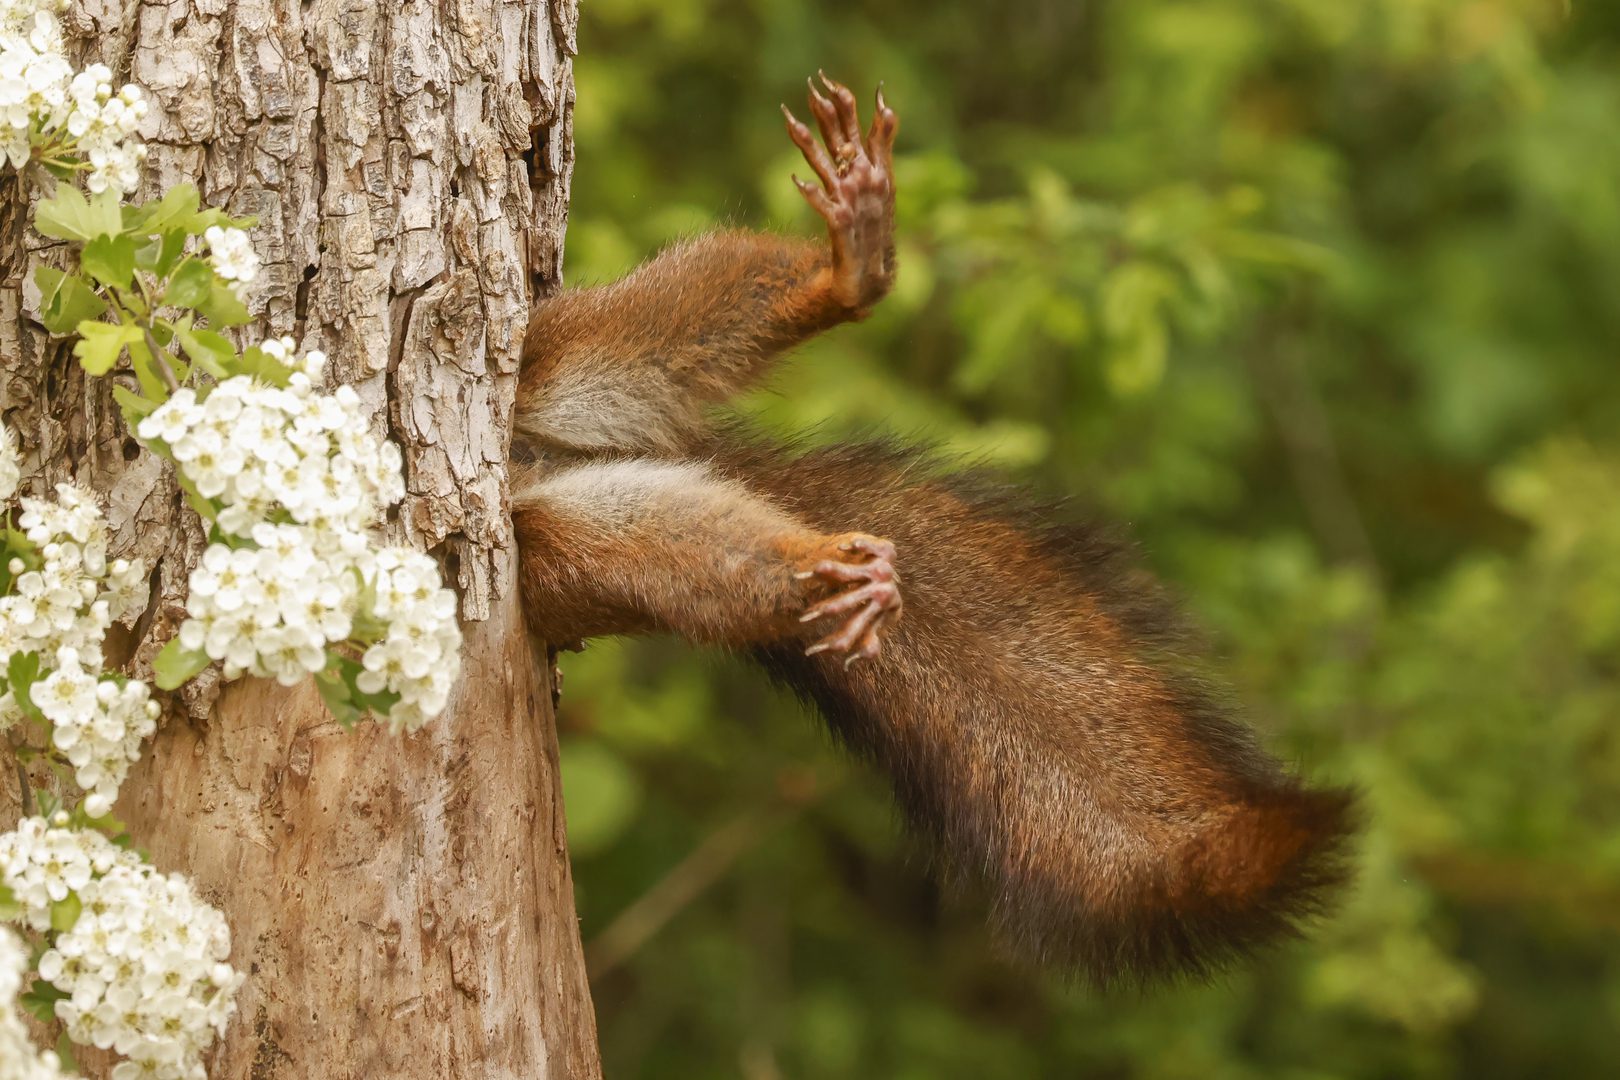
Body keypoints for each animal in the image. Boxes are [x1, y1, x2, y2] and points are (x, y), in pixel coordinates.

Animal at [508, 74, 1354, 990]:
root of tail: (535, 462)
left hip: (554, 355)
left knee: (659, 324)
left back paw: (850, 268)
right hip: (563, 550)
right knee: (679, 550)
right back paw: (829, 570)